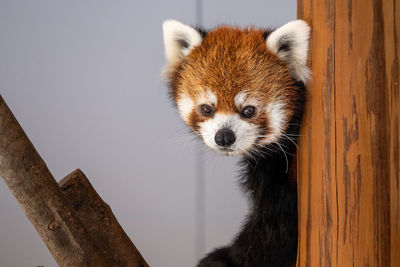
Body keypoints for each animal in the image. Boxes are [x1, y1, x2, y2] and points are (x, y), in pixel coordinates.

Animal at [162, 19, 310, 267]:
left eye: (248, 110)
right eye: (206, 108)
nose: (224, 137)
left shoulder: (284, 171)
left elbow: (277, 229)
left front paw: (226, 259)